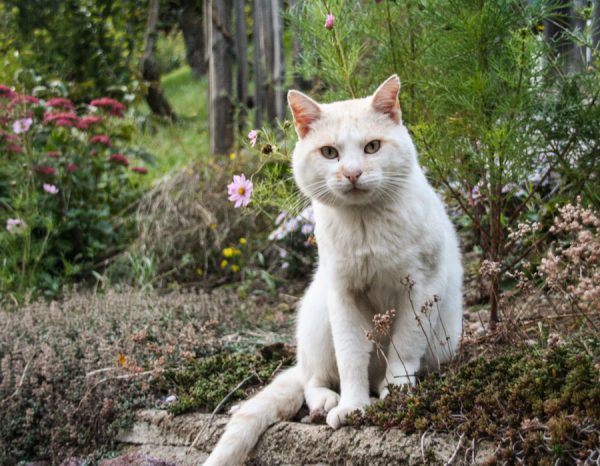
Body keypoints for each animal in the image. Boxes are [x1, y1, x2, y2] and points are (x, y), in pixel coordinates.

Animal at [204, 74, 462, 464]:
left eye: (372, 147)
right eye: (329, 153)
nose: (352, 173)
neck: (365, 224)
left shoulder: (422, 289)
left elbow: (404, 346)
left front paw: (397, 392)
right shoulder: (343, 297)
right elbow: (351, 358)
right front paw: (354, 407)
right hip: (318, 316)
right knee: (313, 379)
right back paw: (326, 402)